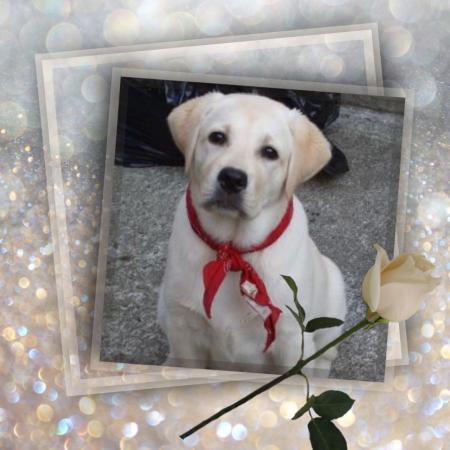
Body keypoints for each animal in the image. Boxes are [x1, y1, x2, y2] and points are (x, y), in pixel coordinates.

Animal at [157, 92, 346, 374]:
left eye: (270, 152)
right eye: (217, 137)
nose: (232, 179)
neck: (234, 250)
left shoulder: (291, 340)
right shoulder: (184, 328)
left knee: (326, 354)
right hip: (166, 305)